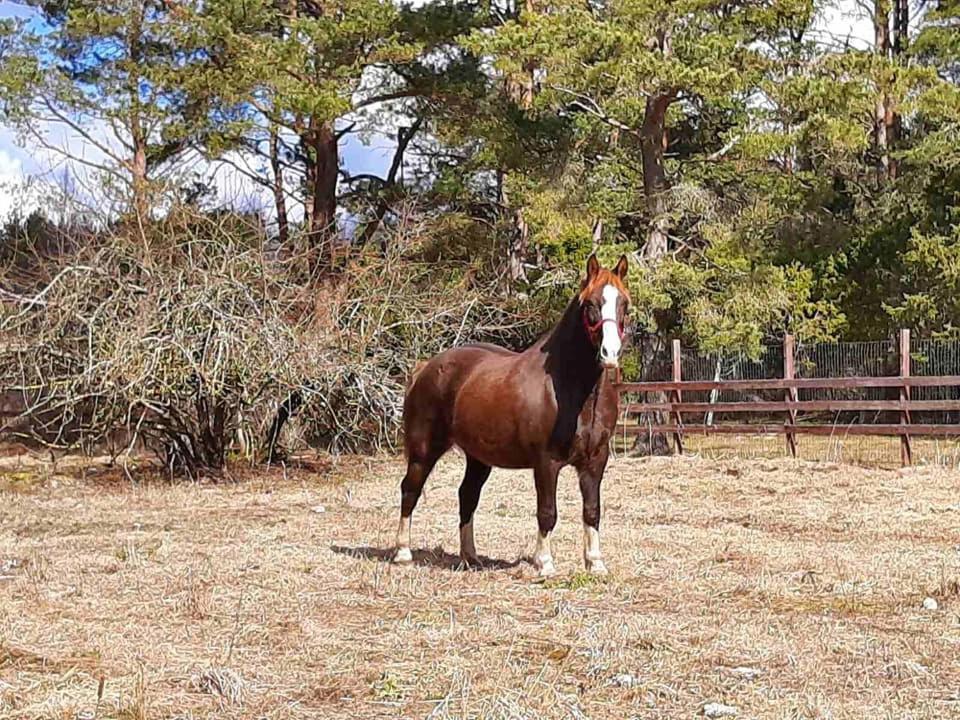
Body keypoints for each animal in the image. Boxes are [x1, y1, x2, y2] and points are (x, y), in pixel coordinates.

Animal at [396, 256, 632, 576]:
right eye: (591, 304)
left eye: (624, 304)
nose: (610, 353)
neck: (574, 390)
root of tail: (425, 368)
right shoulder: (546, 462)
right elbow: (547, 512)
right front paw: (545, 564)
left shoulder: (596, 460)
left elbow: (592, 511)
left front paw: (595, 563)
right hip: (424, 451)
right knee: (410, 489)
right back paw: (403, 553)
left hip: (478, 459)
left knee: (467, 496)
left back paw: (470, 557)